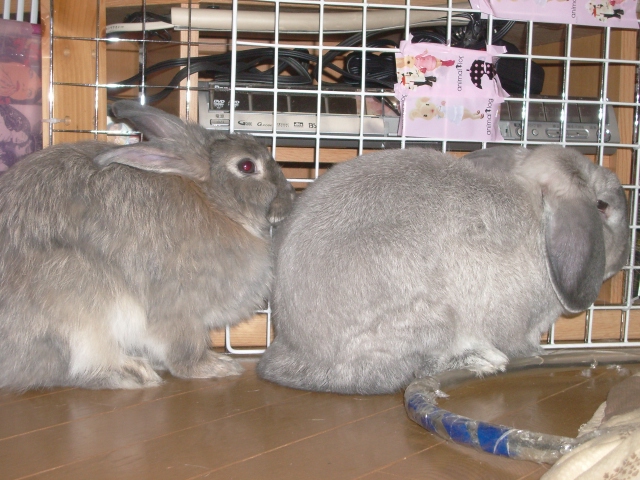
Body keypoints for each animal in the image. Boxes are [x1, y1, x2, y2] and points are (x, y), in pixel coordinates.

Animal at [0, 100, 295, 391]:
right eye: (246, 166)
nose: (291, 195)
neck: (214, 202)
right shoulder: (180, 310)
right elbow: (185, 350)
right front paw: (216, 366)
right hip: (78, 300)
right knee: (75, 365)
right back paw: (132, 373)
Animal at [257, 145, 629, 395]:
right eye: (602, 206)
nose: (623, 260)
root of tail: (295, 348)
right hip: (430, 317)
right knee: (401, 371)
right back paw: (481, 360)